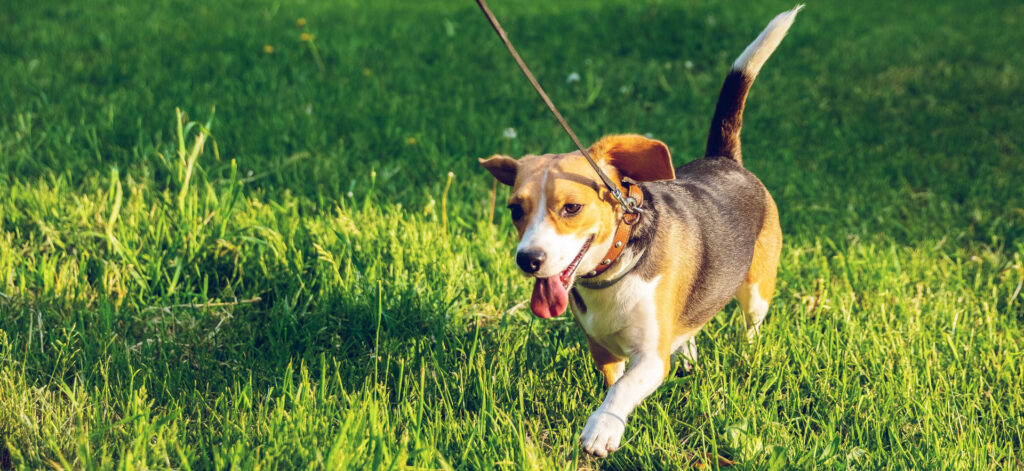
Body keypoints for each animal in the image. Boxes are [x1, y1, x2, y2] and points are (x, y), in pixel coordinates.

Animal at [479, 6, 798, 456]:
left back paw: (747, 354)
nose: (529, 260)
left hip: (757, 290)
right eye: (514, 210)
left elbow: (624, 389)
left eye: (572, 207)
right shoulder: (601, 348)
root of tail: (724, 159)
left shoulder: (650, 356)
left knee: (750, 324)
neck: (613, 269)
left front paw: (602, 428)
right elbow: (614, 381)